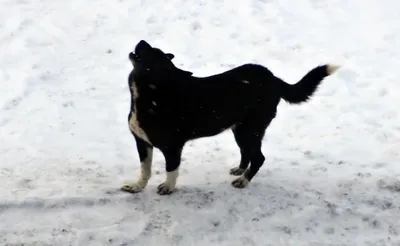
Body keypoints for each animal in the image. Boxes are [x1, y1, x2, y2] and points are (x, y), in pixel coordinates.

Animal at [120, 39, 340, 195]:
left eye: (153, 53)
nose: (141, 40)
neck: (153, 91)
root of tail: (274, 79)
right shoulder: (142, 143)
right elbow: (145, 169)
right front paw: (137, 187)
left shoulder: (173, 147)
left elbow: (171, 169)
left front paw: (168, 187)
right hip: (240, 129)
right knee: (247, 152)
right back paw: (240, 170)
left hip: (250, 129)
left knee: (258, 157)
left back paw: (243, 180)